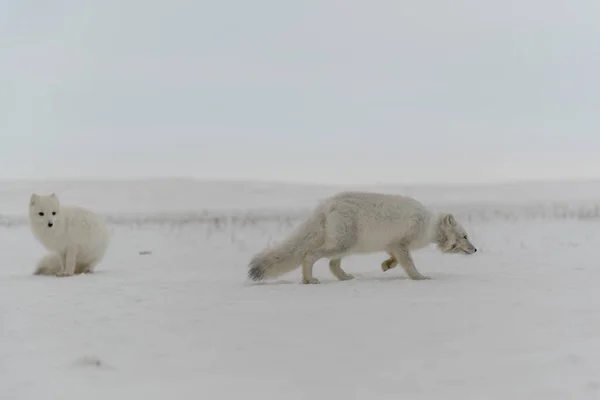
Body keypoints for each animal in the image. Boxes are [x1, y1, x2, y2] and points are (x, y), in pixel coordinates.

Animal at [246, 191, 476, 282]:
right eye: (465, 236)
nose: (475, 249)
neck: (429, 225)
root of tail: (326, 205)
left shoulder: (392, 244)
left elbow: (394, 259)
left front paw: (385, 265)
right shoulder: (402, 243)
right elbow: (409, 264)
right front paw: (420, 277)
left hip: (345, 245)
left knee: (332, 264)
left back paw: (344, 277)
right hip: (343, 244)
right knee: (310, 255)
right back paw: (310, 280)